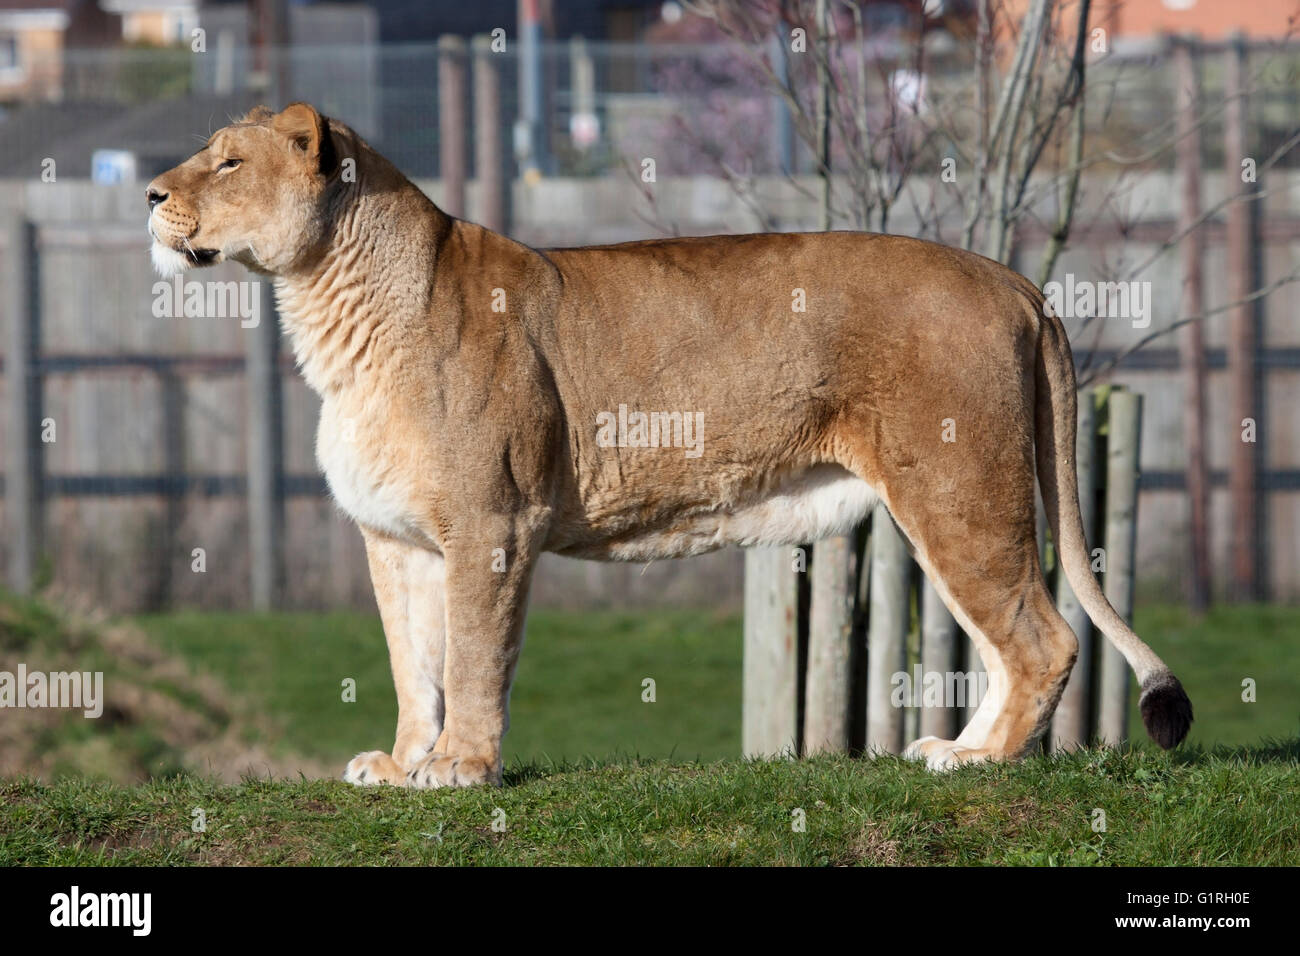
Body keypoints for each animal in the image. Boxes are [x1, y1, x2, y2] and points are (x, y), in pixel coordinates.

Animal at [145, 103, 1192, 787]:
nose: (151, 194)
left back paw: (982, 767)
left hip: (957, 490)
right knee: (1011, 645)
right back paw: (962, 752)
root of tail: (1012, 278)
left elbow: (475, 656)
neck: (327, 308)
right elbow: (417, 663)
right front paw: (404, 765)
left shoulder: (493, 523)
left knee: (1045, 640)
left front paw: (464, 769)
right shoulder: (397, 539)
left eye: (227, 162)